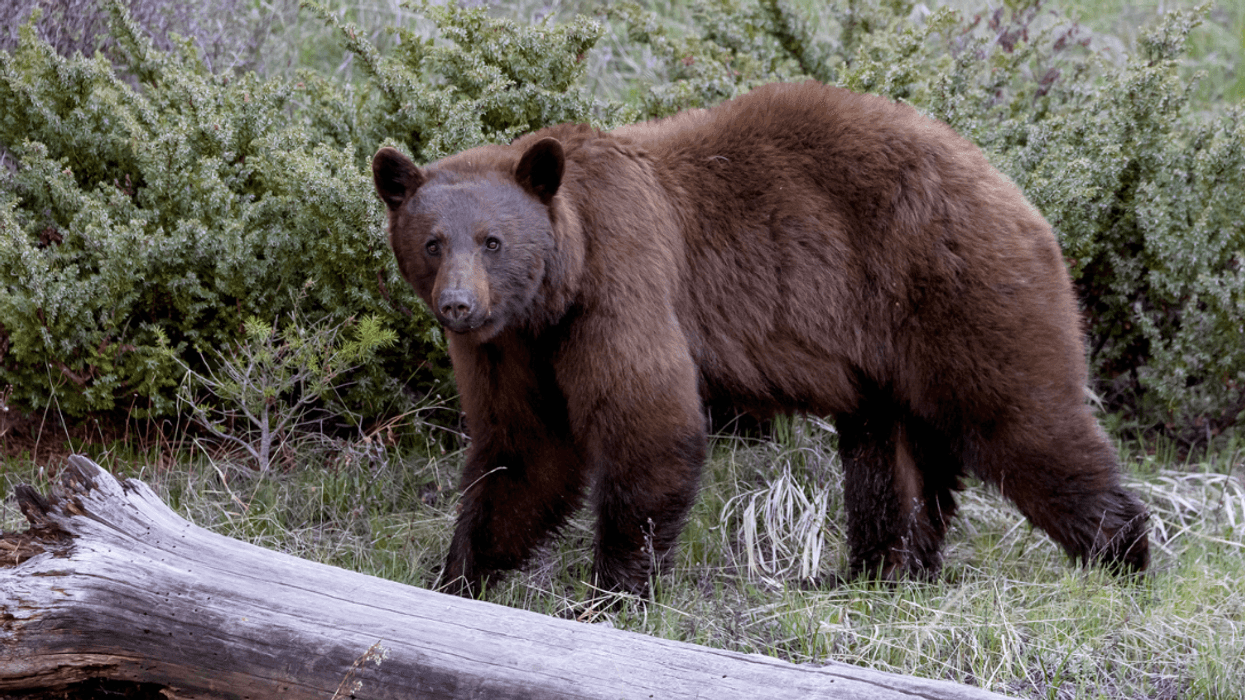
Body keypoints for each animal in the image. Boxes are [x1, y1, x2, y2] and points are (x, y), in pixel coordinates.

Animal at [372, 80, 1150, 598]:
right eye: (432, 242)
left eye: (492, 240)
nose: (459, 306)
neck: (555, 287)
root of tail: (1012, 190)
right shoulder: (512, 347)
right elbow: (521, 452)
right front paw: (457, 574)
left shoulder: (623, 282)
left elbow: (651, 426)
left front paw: (614, 590)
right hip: (885, 351)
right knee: (889, 459)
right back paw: (878, 573)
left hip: (957, 289)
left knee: (1023, 423)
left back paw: (1121, 554)